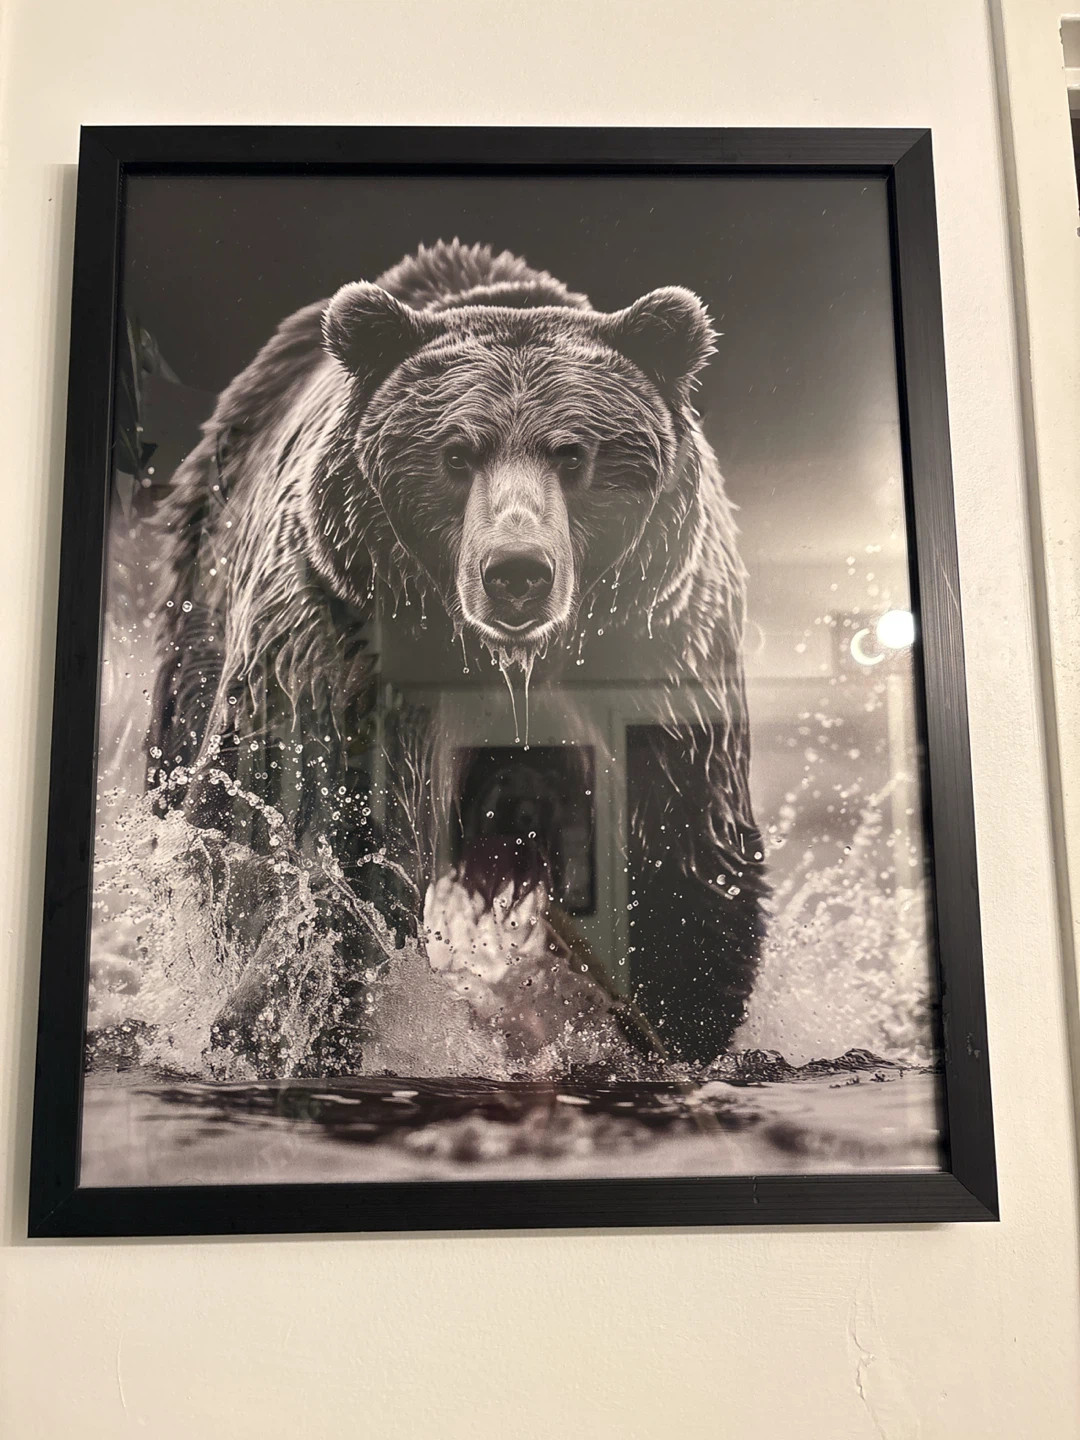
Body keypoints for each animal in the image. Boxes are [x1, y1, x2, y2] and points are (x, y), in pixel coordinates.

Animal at [147, 239, 767, 1073]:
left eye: (573, 454)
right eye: (455, 452)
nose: (517, 573)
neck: (506, 665)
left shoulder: (655, 658)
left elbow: (679, 854)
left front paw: (668, 1024)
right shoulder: (344, 651)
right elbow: (311, 834)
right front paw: (275, 1018)